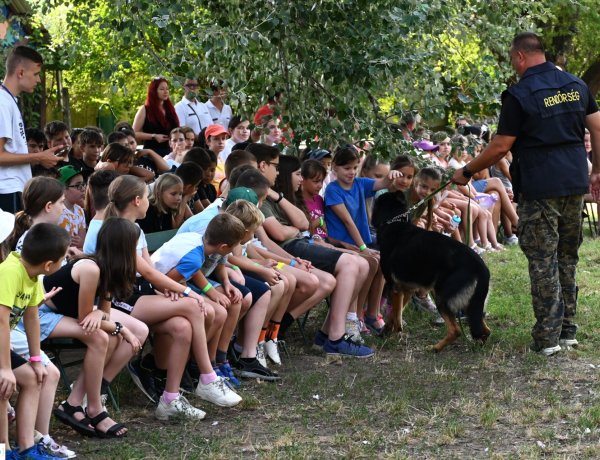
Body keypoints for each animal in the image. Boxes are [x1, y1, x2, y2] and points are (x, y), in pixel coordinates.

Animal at [380, 217, 492, 350]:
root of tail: (481, 268)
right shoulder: (407, 290)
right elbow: (396, 312)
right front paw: (387, 330)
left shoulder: (395, 288)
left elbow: (396, 315)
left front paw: (394, 333)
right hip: (472, 305)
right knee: (485, 330)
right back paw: (479, 345)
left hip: (441, 299)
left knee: (456, 331)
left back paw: (435, 348)